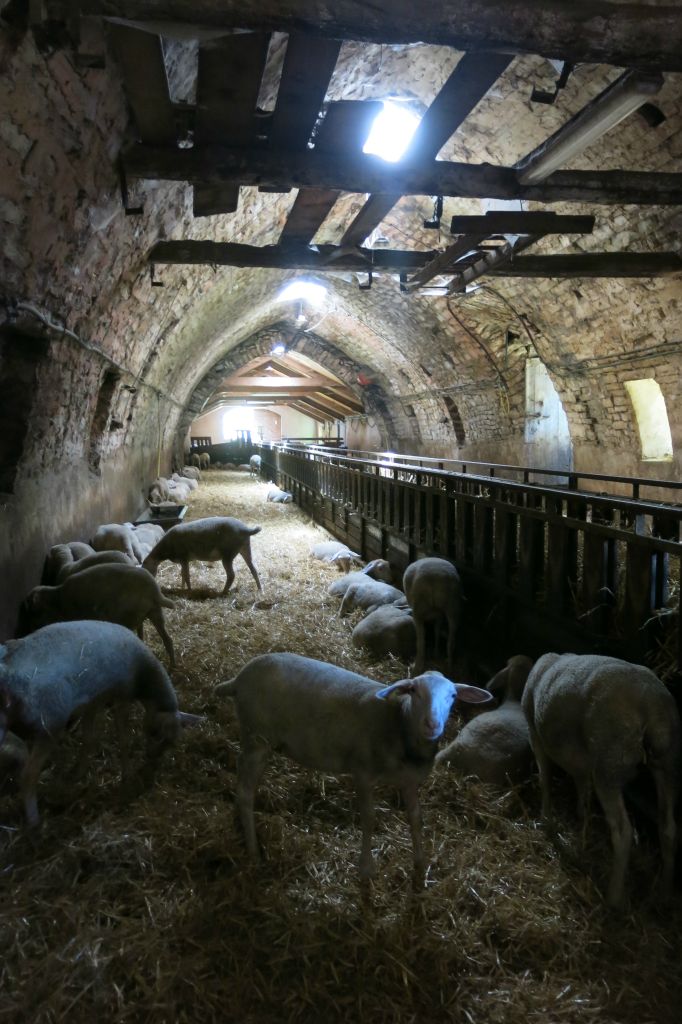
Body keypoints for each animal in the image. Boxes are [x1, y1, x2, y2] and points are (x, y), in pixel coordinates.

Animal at [0, 614, 200, 823]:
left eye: (171, 743)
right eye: (155, 733)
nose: (152, 759)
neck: (143, 679)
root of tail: (8, 671)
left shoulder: (93, 701)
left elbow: (89, 739)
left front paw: (79, 771)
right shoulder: (121, 696)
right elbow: (123, 738)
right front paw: (126, 774)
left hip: (4, 722)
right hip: (51, 722)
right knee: (28, 775)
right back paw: (34, 822)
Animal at [23, 565, 175, 667]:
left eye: (33, 612)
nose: (30, 630)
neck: (57, 603)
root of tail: (155, 592)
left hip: (133, 615)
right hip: (155, 612)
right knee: (166, 639)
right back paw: (171, 668)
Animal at [212, 651, 489, 876]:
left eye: (453, 695)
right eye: (414, 691)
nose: (432, 724)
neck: (398, 723)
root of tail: (238, 679)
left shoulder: (409, 781)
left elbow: (415, 817)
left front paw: (420, 863)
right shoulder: (363, 771)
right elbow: (368, 817)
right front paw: (366, 868)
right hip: (257, 737)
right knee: (245, 792)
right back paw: (254, 852)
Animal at [518, 651, 675, 909]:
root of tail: (649, 703)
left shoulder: (535, 735)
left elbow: (545, 780)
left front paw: (546, 820)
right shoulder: (581, 762)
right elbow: (582, 786)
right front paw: (581, 817)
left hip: (609, 762)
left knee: (623, 831)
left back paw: (613, 898)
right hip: (667, 762)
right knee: (668, 827)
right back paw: (664, 893)